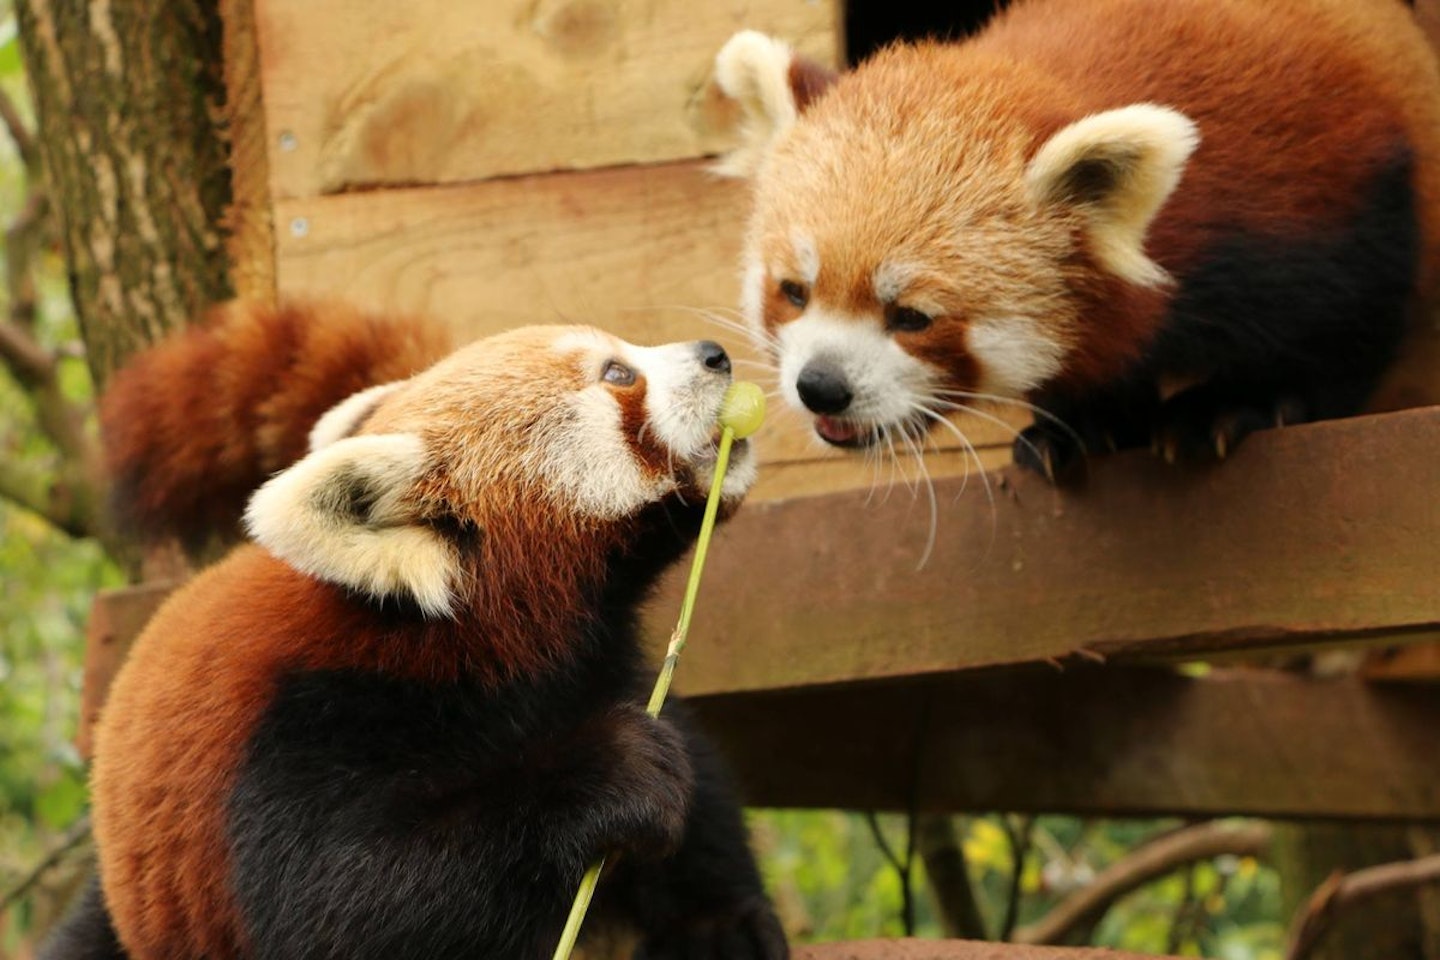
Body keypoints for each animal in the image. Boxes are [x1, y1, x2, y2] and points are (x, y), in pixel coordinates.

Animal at [47, 303, 789, 960]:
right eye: (617, 373)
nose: (715, 355)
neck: (482, 645)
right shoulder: (302, 727)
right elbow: (346, 911)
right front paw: (608, 773)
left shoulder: (601, 660)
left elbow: (701, 784)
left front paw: (717, 924)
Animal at [714, 0, 1440, 480]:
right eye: (794, 291)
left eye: (913, 317)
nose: (821, 386)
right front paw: (1084, 424)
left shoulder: (1326, 198)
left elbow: (1344, 329)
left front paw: (1231, 405)